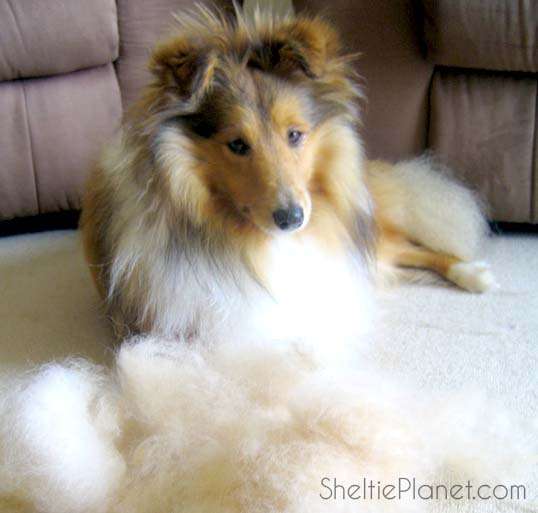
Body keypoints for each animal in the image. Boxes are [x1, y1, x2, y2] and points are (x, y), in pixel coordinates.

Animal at [79, 6, 494, 362]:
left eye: (294, 134)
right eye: (237, 144)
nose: (292, 218)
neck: (257, 245)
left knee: (410, 246)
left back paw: (474, 273)